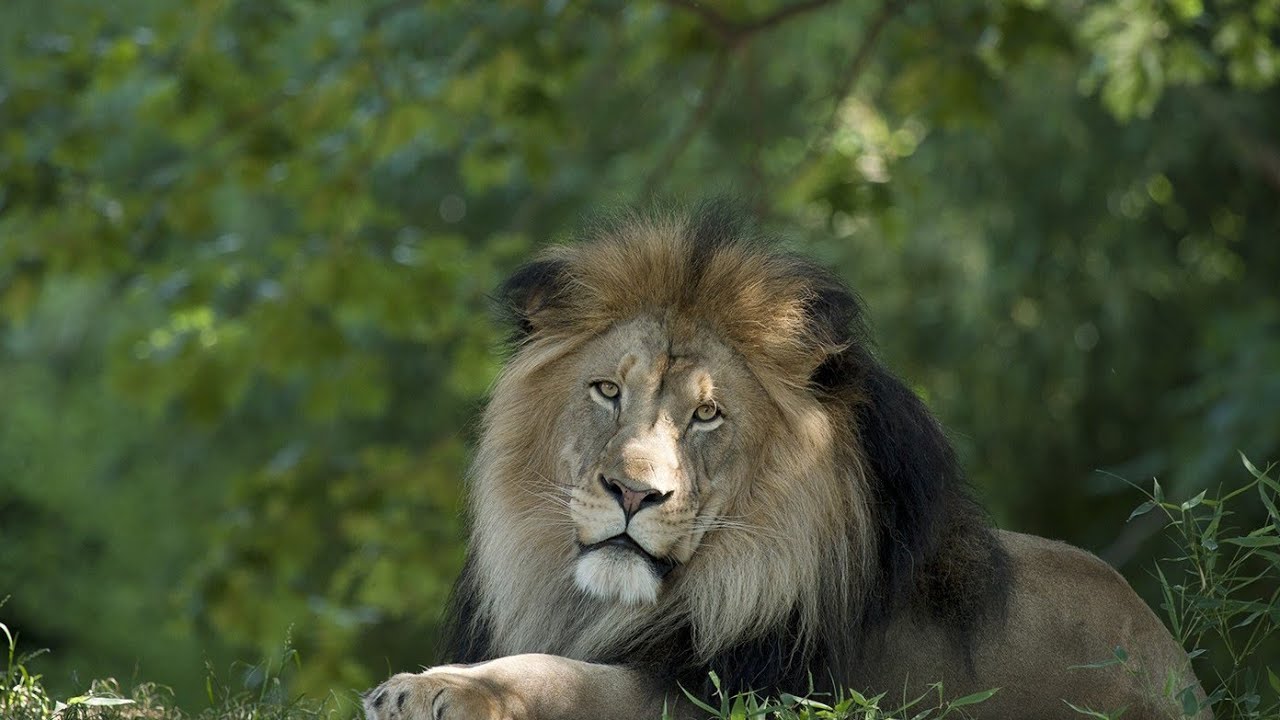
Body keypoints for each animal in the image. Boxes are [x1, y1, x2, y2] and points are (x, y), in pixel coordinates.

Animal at [364, 205, 1204, 720]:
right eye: (607, 390)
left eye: (706, 414)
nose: (633, 493)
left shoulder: (741, 694)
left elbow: (568, 675)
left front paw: (430, 690)